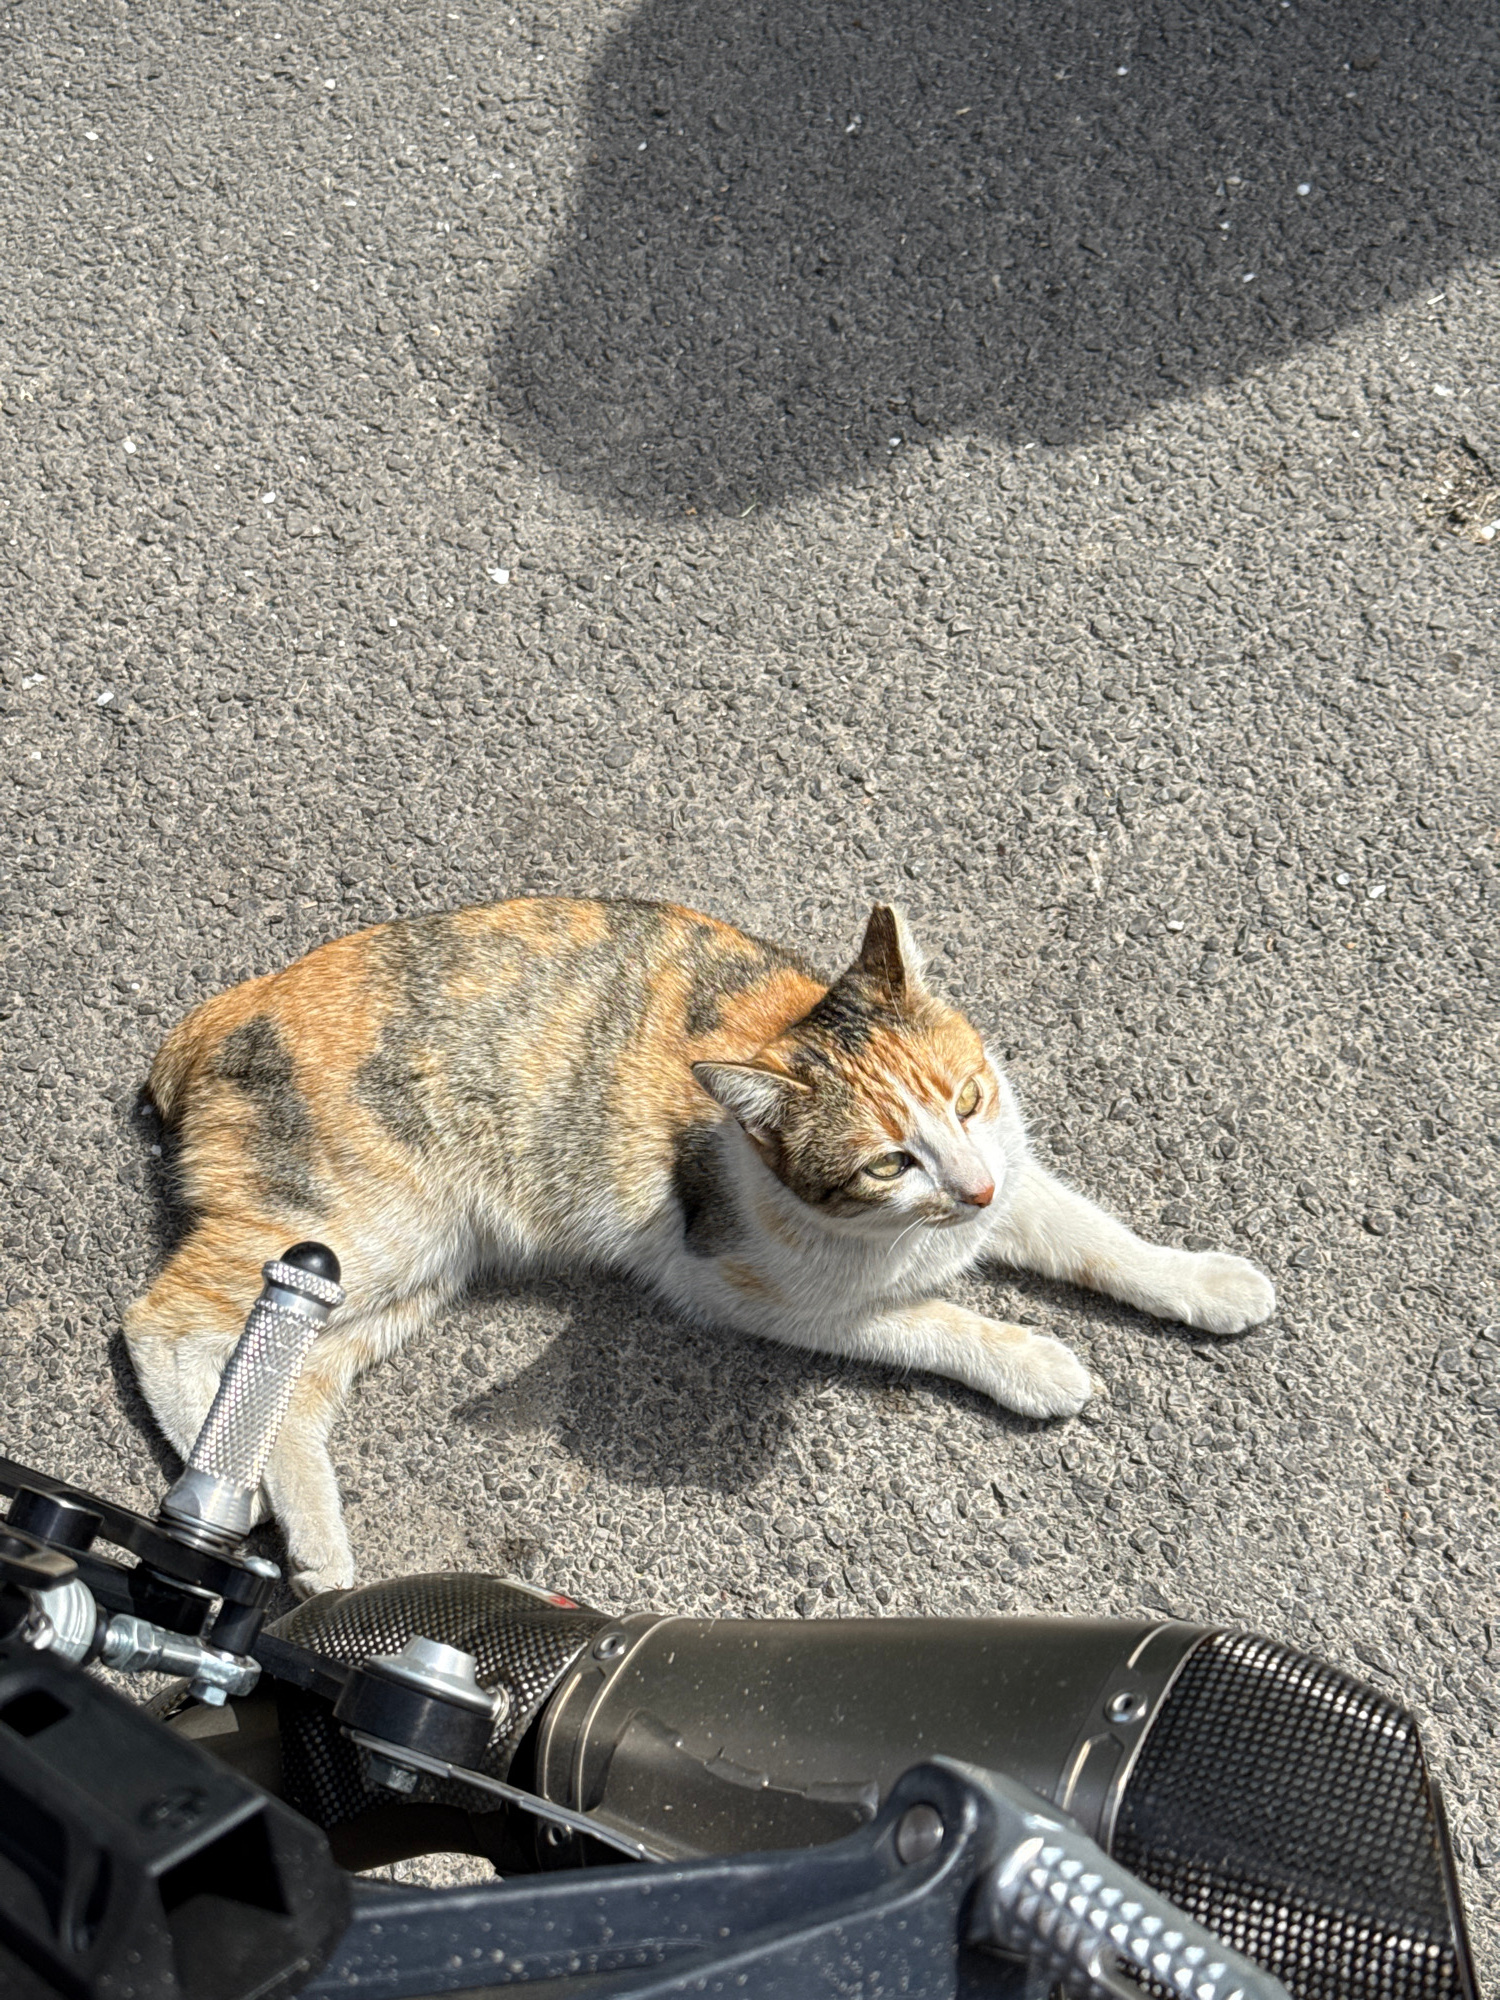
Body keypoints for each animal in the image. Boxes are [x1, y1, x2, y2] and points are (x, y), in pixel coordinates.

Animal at [126, 898, 1274, 1597]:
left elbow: (1105, 1240)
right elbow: (931, 1322)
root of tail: (211, 1017)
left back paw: (310, 1533)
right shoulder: (744, 1287)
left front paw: (1205, 1280)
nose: (969, 1187)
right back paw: (213, 1480)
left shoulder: (1014, 1179)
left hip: (408, 1272)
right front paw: (1032, 1361)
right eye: (886, 1162)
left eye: (966, 1096)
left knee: (296, 1381)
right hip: (352, 1228)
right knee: (165, 1322)